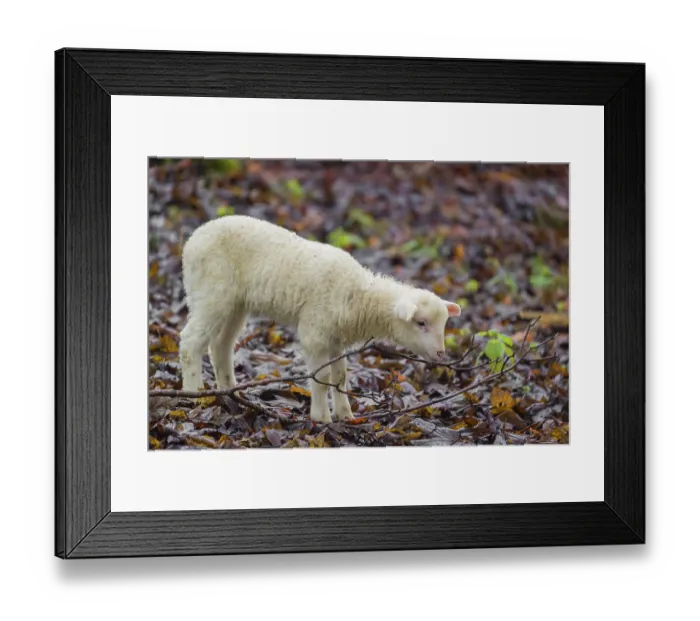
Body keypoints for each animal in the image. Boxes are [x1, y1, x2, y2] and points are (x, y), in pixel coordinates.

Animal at [180, 215, 461, 423]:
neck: (358, 296)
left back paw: (229, 391)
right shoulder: (315, 332)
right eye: (421, 323)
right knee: (190, 342)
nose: (440, 354)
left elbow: (340, 377)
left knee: (220, 345)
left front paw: (346, 415)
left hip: (235, 304)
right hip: (211, 292)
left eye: (443, 324)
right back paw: (194, 394)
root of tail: (192, 241)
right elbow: (322, 378)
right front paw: (321, 418)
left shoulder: (335, 338)